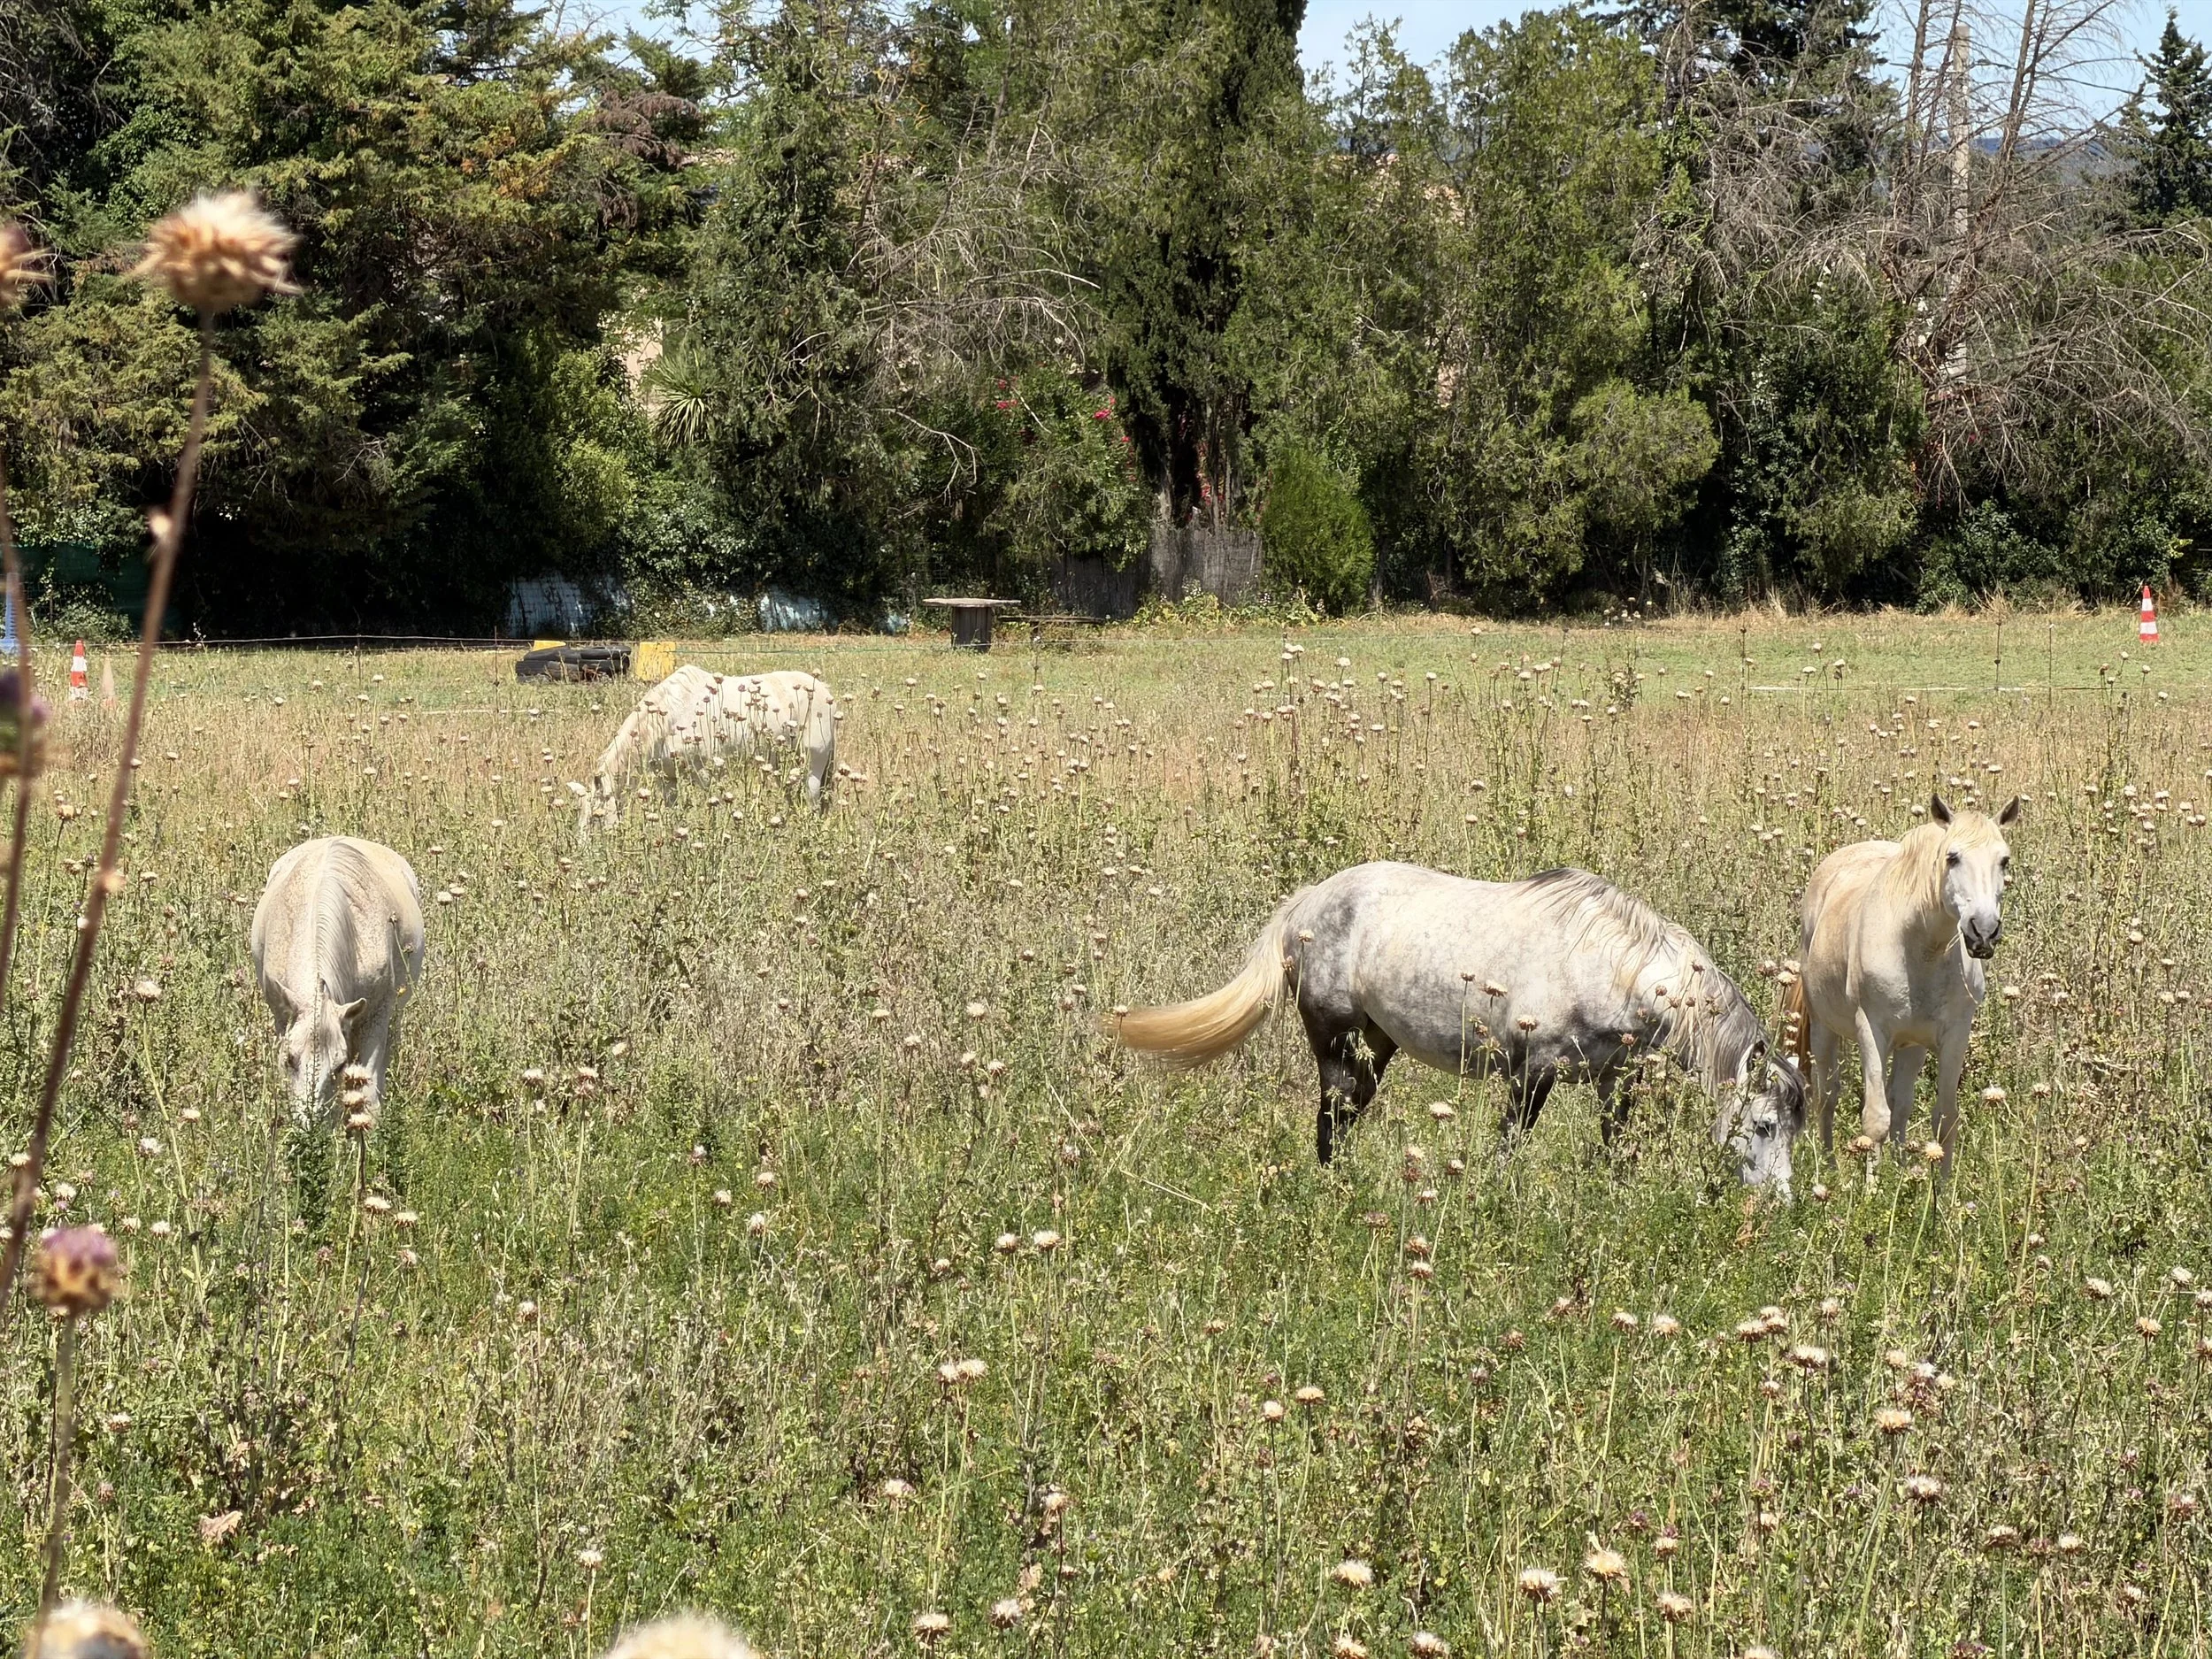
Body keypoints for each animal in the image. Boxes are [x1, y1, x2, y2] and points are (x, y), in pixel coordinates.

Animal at [573, 666, 837, 835]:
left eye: (596, 818)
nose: (588, 856)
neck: (671, 715)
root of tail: (824, 691)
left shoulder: (705, 773)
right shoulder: (668, 779)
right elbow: (672, 814)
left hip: (812, 765)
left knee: (812, 802)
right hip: (784, 768)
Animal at [1115, 862, 1806, 1190]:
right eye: (1764, 1125)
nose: (1781, 1204)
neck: (1609, 964)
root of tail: (1305, 904)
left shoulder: (1617, 1080)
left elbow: (1616, 1148)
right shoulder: (1531, 1075)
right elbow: (1508, 1150)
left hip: (1376, 1045)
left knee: (1348, 1111)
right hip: (1334, 1038)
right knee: (1332, 1116)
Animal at [1780, 794, 2020, 1174]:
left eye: (2004, 860)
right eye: (1952, 857)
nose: (1983, 931)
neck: (1920, 947)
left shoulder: (1955, 1034)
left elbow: (1944, 1118)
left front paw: (1940, 1189)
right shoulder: (1871, 1030)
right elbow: (1875, 1120)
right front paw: (1873, 1186)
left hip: (1912, 1045)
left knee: (1901, 1105)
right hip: (1823, 1028)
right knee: (1828, 1096)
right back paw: (1829, 1167)